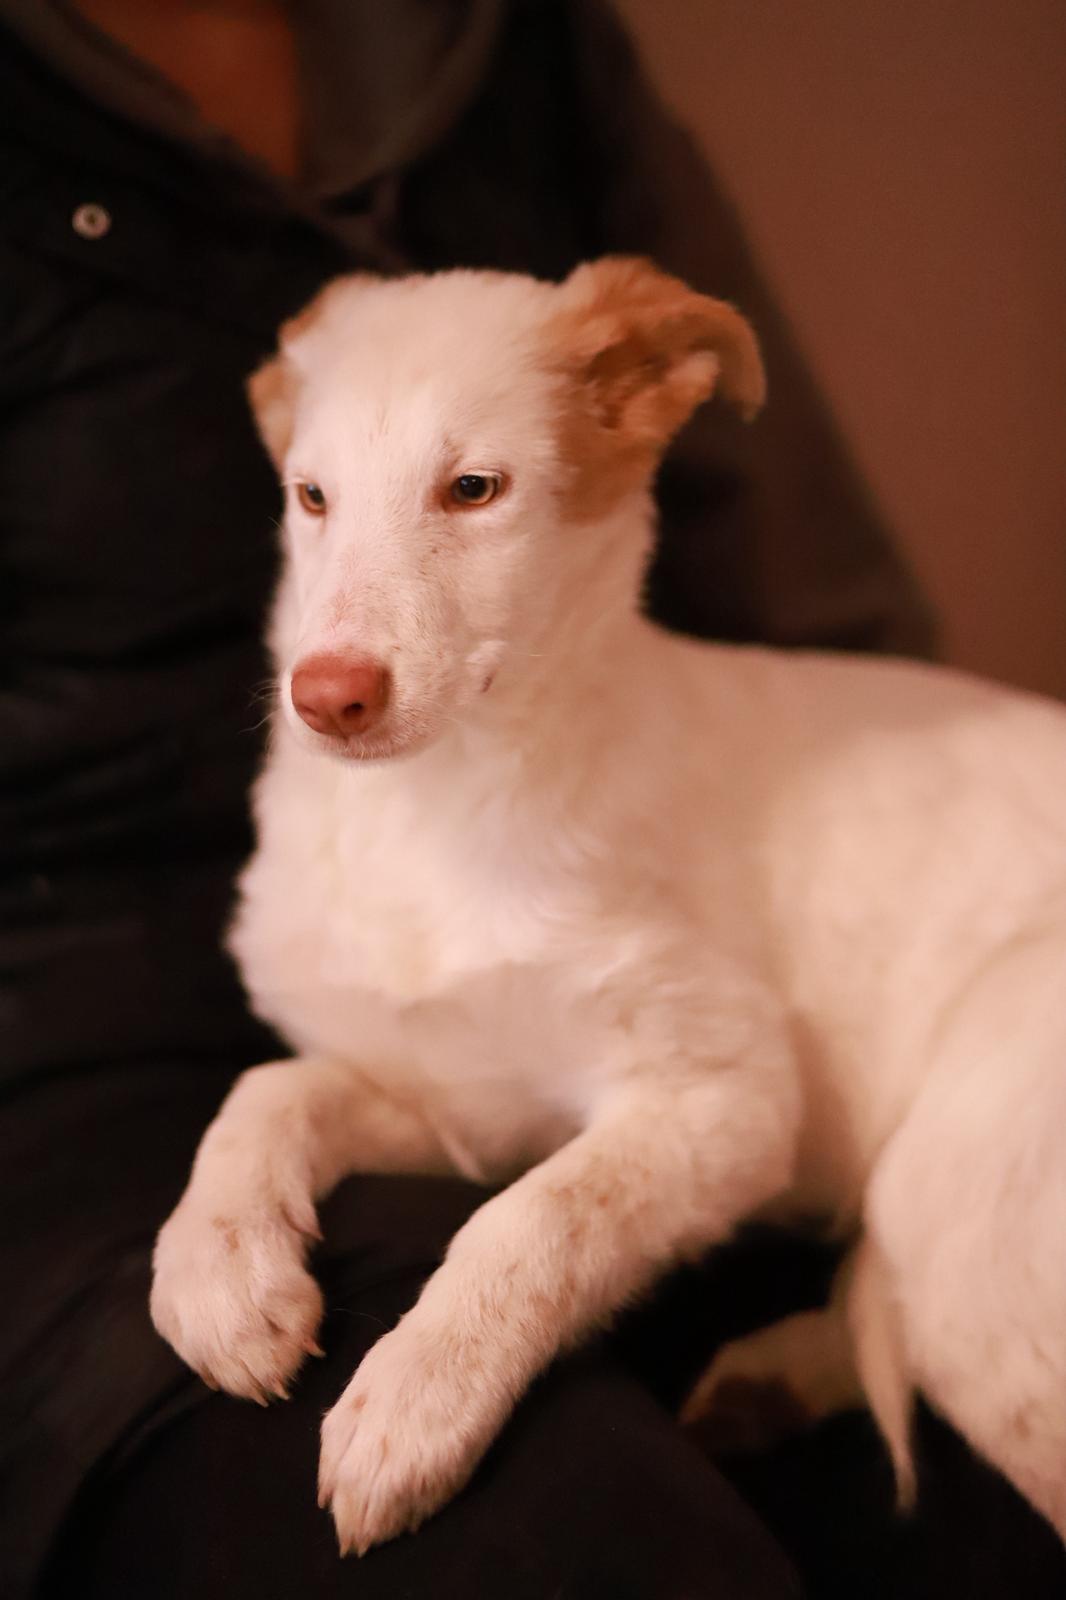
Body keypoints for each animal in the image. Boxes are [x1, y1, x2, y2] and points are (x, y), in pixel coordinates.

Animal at [150, 257, 1066, 1555]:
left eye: (474, 488)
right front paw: (218, 1266)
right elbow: (267, 1088)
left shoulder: (725, 1100)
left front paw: (416, 1399)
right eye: (310, 496)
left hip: (966, 1200)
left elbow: (536, 1221)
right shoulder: (460, 1094)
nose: (326, 697)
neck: (437, 810)